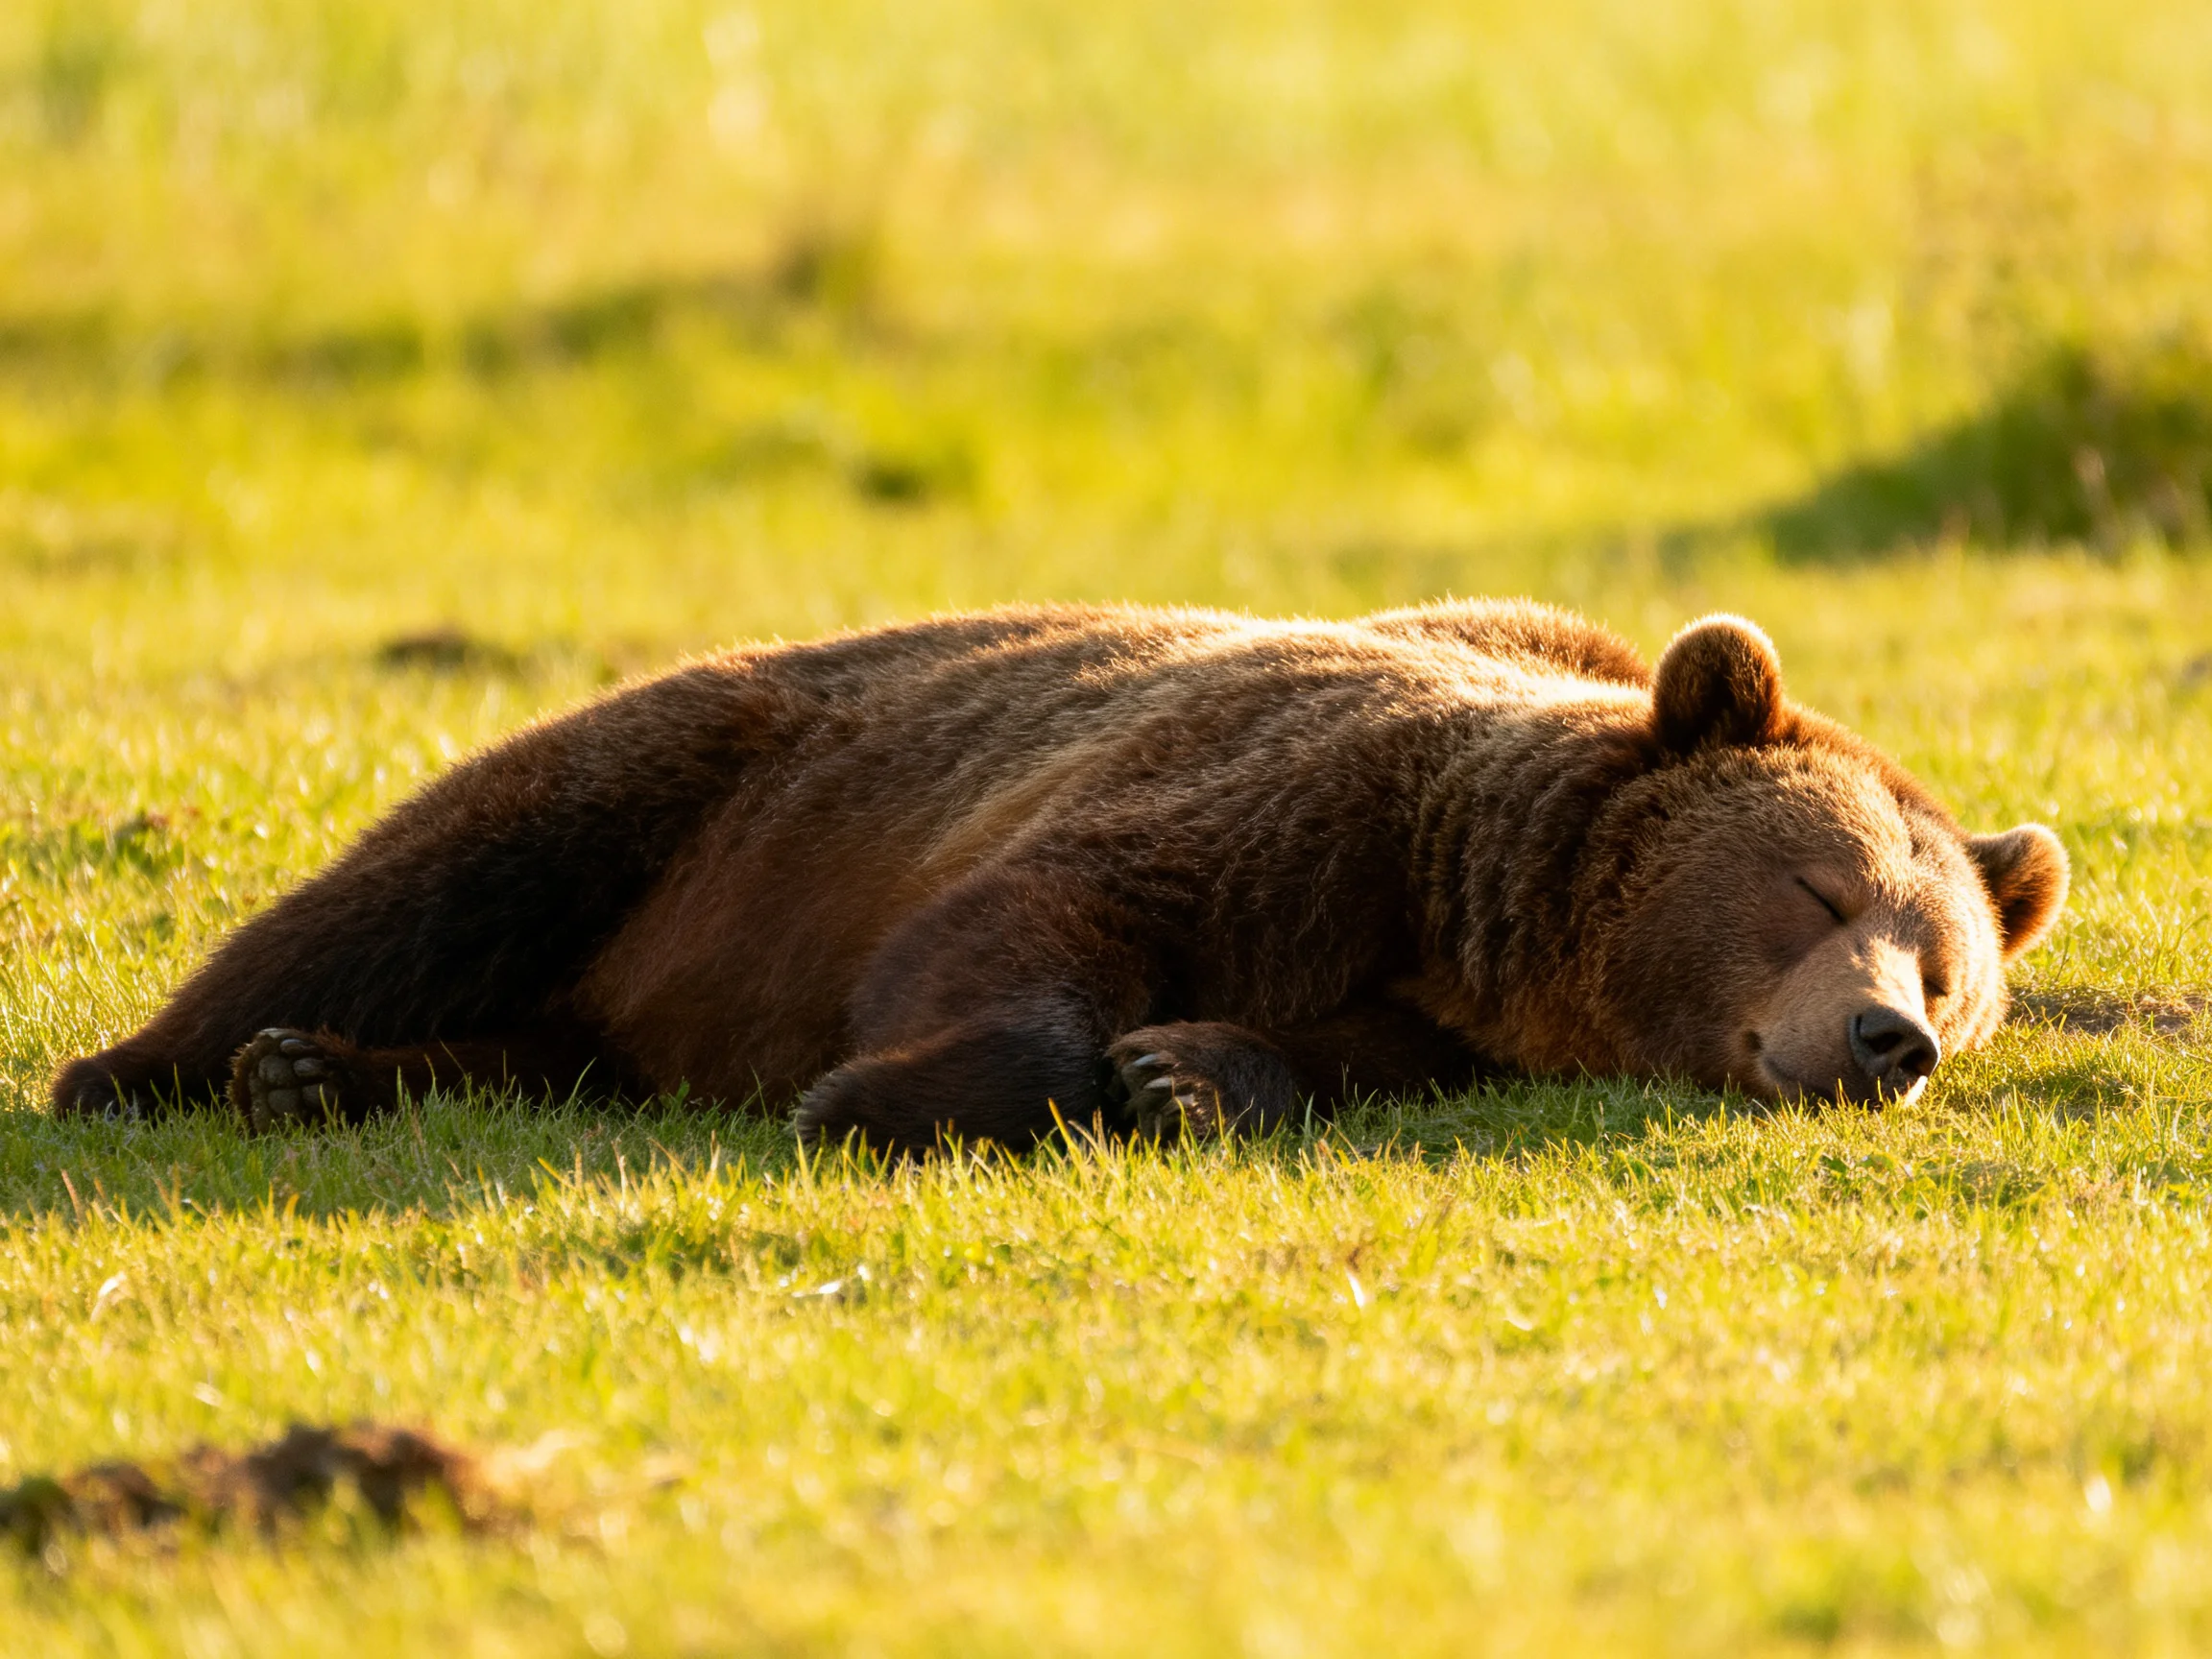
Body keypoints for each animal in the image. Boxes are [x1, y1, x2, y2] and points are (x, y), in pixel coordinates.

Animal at [50, 601, 2069, 1155]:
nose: (1882, 1039)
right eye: (1816, 894)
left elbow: (1321, 1060)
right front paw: (878, 1093)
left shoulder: (1435, 1009)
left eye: (1946, 971)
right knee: (436, 871)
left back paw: (327, 1075)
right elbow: (1035, 914)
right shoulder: (1292, 804)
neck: (1468, 917)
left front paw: (1185, 1073)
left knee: (558, 1042)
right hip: (693, 775)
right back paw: (170, 1064)